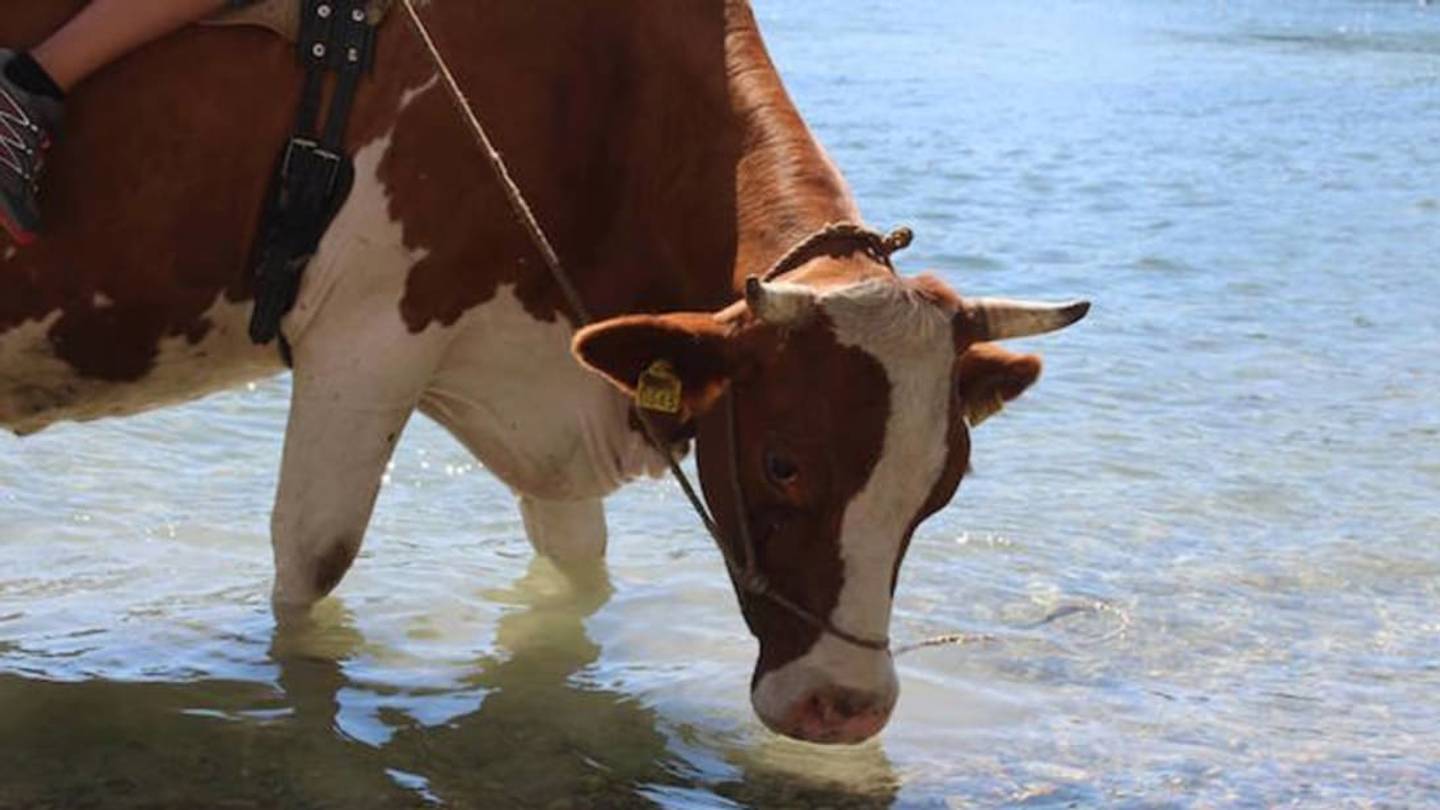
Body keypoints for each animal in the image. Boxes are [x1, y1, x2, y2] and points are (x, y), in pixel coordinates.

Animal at [0, 0, 1087, 744]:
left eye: (941, 489)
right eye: (783, 462)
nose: (846, 706)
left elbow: (577, 570)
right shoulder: (369, 334)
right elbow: (314, 565)